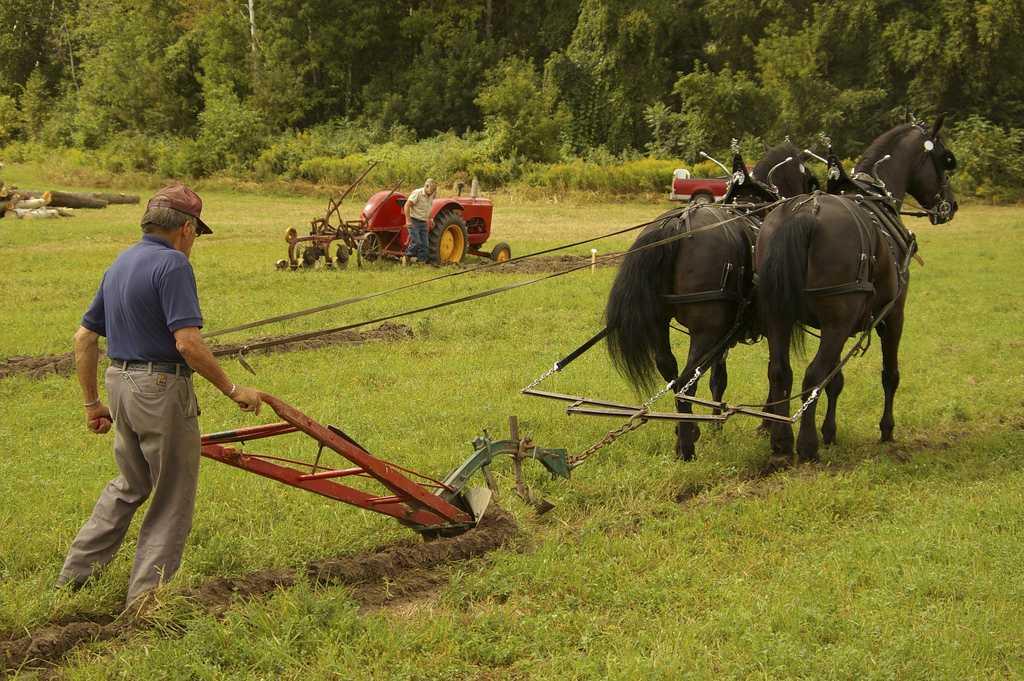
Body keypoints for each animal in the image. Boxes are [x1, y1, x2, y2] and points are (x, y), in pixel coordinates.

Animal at [602, 140, 819, 458]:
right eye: (807, 170)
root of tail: (677, 224)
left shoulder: (727, 332)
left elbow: (719, 377)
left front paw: (716, 422)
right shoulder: (768, 323)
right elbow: (774, 370)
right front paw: (766, 423)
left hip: (662, 322)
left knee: (670, 370)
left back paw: (686, 427)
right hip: (706, 329)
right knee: (685, 381)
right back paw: (685, 447)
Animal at [757, 116, 954, 466]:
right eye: (945, 159)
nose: (951, 204)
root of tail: (806, 212)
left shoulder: (835, 325)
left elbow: (835, 381)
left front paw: (830, 432)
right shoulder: (893, 315)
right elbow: (889, 374)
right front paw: (886, 430)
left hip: (779, 314)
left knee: (781, 372)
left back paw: (781, 441)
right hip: (837, 321)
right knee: (811, 375)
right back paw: (807, 446)